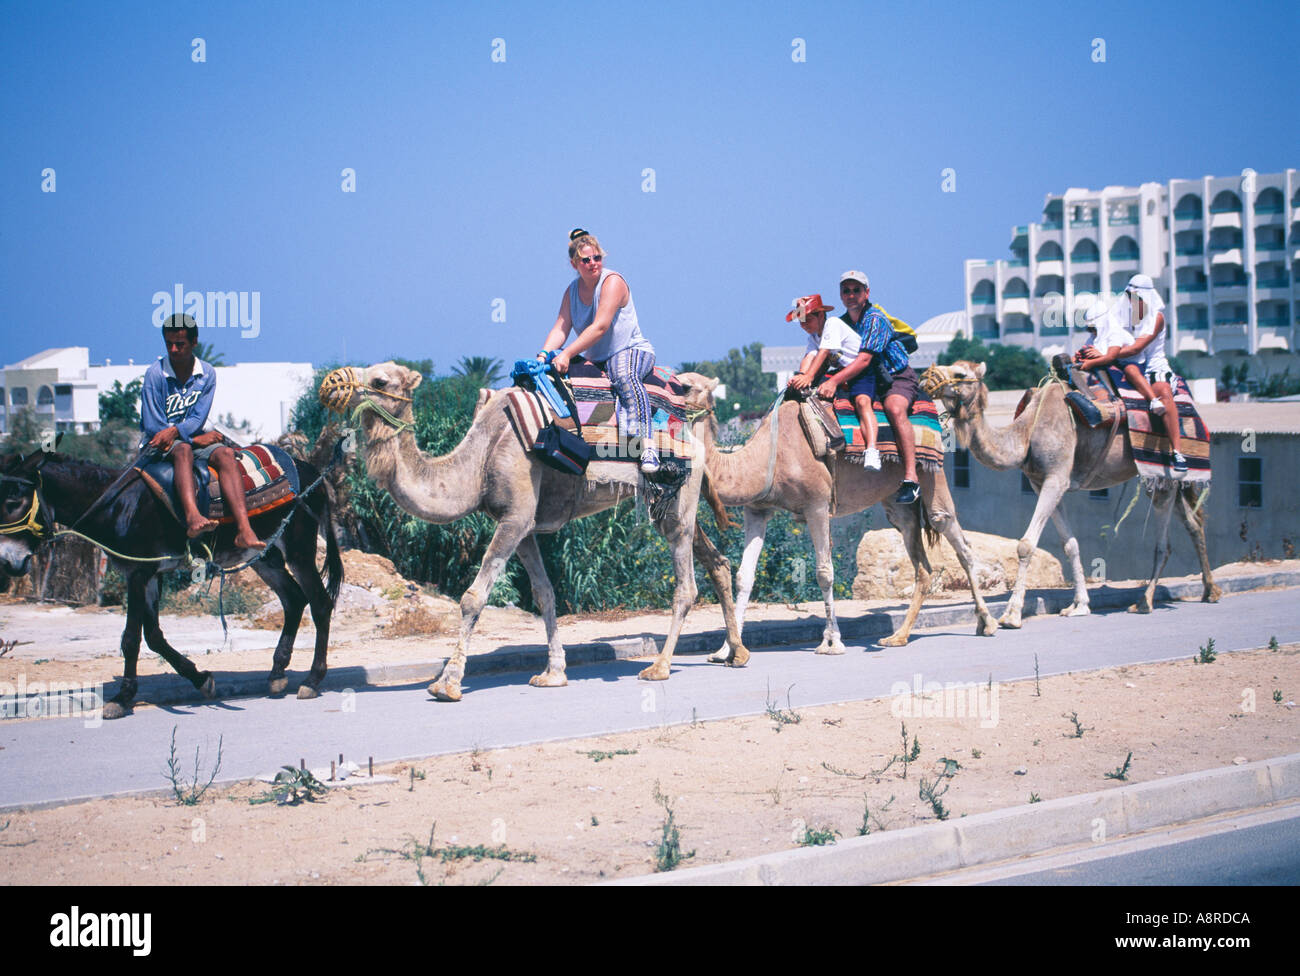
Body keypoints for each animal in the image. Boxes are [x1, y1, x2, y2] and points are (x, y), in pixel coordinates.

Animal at [317, 363, 754, 696]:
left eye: (380, 381)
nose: (331, 383)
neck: (480, 458)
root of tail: (696, 437)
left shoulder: (514, 518)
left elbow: (473, 597)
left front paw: (447, 683)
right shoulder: (522, 525)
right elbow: (545, 594)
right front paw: (553, 673)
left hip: (677, 500)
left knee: (686, 585)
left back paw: (660, 666)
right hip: (674, 503)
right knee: (717, 561)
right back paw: (736, 653)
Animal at [676, 374, 998, 657]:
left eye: (684, 385)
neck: (770, 455)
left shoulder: (817, 504)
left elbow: (824, 572)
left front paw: (831, 642)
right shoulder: (757, 509)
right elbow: (745, 576)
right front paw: (727, 649)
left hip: (933, 472)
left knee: (953, 532)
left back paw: (987, 622)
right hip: (897, 502)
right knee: (922, 561)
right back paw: (898, 636)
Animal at [920, 358, 1211, 626]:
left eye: (960, 373)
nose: (925, 378)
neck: (1026, 435)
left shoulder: (1056, 479)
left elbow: (1026, 545)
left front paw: (1012, 614)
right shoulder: (1042, 483)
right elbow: (1070, 544)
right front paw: (1079, 605)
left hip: (1165, 474)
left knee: (1165, 542)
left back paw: (1145, 601)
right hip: (1160, 478)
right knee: (1194, 523)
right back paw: (1210, 590)